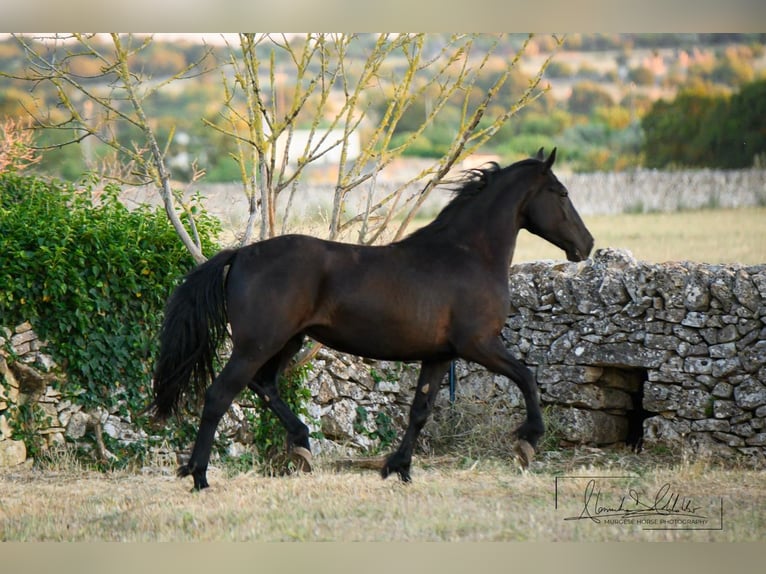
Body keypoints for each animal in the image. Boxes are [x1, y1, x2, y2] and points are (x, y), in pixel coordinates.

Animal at [152, 148, 594, 491]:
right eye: (562, 192)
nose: (586, 245)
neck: (468, 254)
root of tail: (242, 254)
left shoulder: (440, 355)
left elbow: (420, 410)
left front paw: (398, 468)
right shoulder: (480, 344)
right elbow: (527, 378)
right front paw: (527, 443)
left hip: (286, 341)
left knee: (264, 385)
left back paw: (301, 445)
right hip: (257, 343)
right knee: (220, 395)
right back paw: (199, 475)